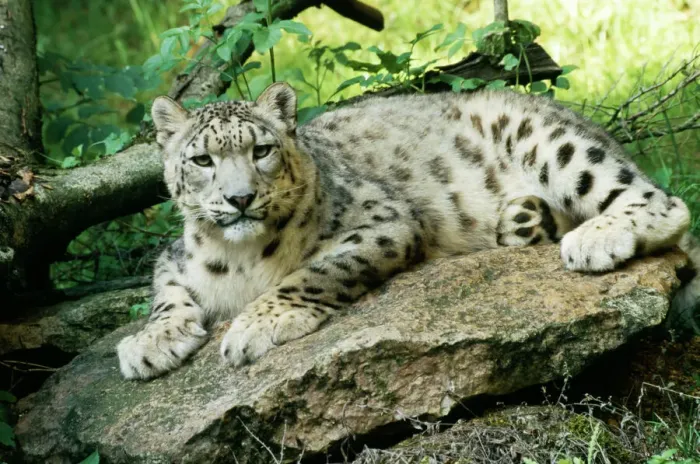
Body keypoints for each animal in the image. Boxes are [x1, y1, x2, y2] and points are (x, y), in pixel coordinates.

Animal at [116, 82, 695, 380]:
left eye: (261, 150)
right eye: (202, 159)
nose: (240, 198)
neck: (241, 257)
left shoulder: (382, 221)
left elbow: (312, 273)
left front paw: (255, 326)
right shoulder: (174, 256)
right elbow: (164, 294)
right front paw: (149, 343)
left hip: (555, 143)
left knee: (666, 203)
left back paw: (594, 239)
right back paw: (526, 218)